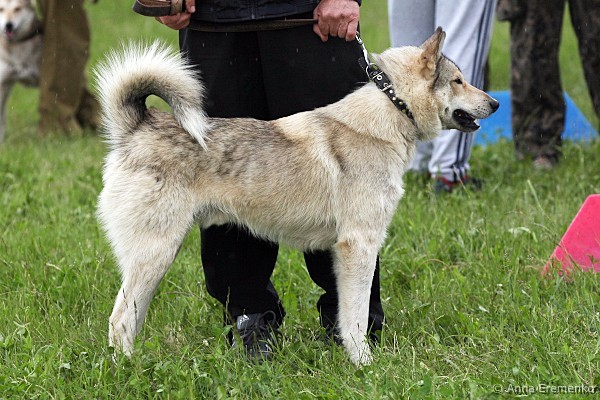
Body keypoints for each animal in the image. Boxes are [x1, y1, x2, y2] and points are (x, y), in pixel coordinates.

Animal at [95, 28, 498, 366]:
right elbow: (356, 315)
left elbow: (345, 314)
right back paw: (129, 370)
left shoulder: (343, 249)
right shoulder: (360, 244)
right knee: (119, 320)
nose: (494, 103)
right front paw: (365, 364)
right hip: (157, 253)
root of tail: (138, 126)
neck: (389, 114)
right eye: (458, 81)